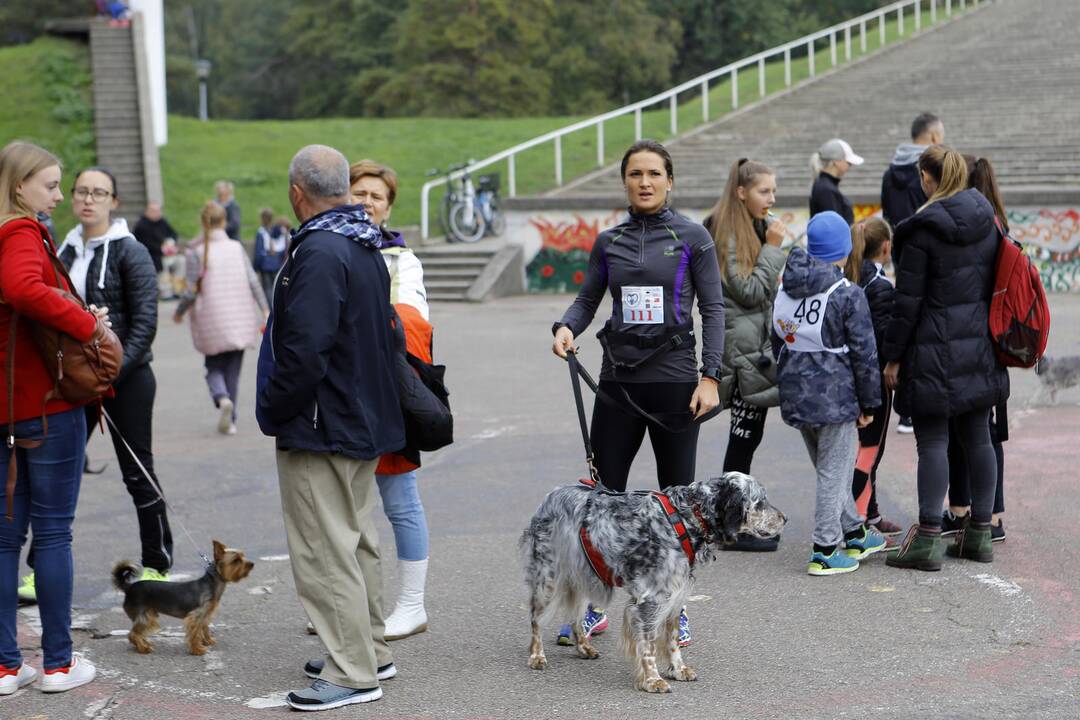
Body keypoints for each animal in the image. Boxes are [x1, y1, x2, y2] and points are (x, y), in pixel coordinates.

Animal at [518, 472, 781, 690]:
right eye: (760, 502)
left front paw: (678, 669)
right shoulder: (649, 602)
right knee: (535, 620)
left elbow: (672, 641)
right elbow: (648, 646)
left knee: (576, 616)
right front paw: (653, 679)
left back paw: (583, 647)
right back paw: (537, 656)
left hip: (583, 577)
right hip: (547, 579)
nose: (784, 518)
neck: (686, 518)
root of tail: (550, 496)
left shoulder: (675, 597)